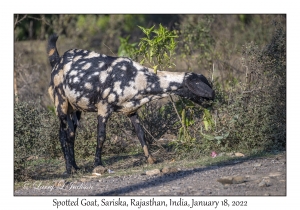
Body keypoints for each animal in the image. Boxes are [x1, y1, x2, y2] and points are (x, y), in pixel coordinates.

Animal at [47, 34, 214, 174]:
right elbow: (101, 136)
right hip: (61, 104)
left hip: (76, 110)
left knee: (70, 134)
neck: (136, 78)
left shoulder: (132, 110)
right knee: (62, 135)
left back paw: (75, 166)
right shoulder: (104, 108)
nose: (213, 97)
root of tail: (57, 61)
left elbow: (141, 134)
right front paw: (97, 165)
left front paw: (150, 159)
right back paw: (69, 169)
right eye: (196, 83)